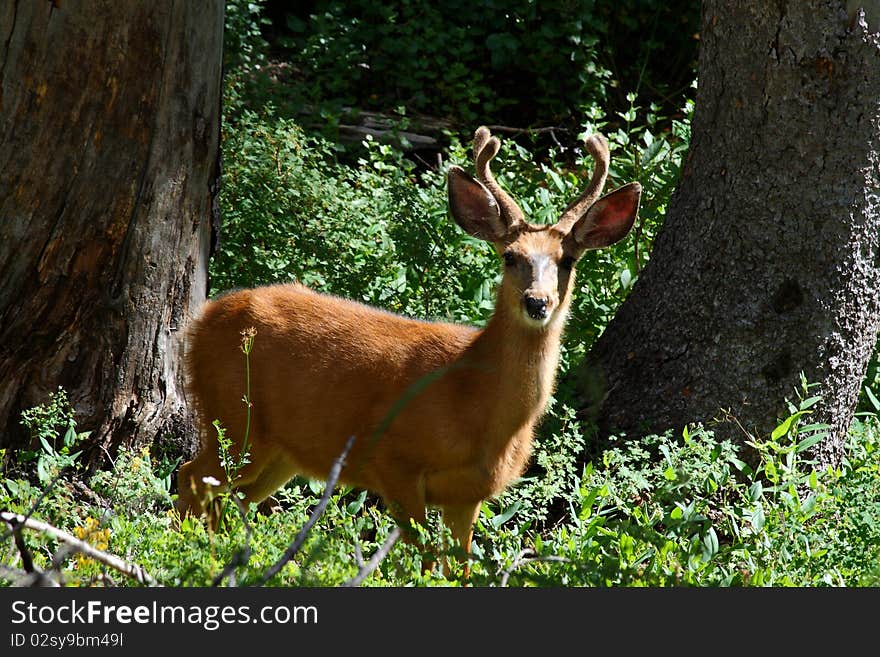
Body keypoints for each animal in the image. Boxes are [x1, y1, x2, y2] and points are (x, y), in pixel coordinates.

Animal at [177, 125, 640, 576]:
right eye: (510, 256)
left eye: (567, 261)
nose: (537, 302)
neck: (475, 400)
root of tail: (201, 320)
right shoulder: (393, 459)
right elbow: (424, 562)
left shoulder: (467, 494)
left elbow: (458, 570)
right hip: (235, 417)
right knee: (192, 478)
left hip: (280, 453)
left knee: (228, 498)